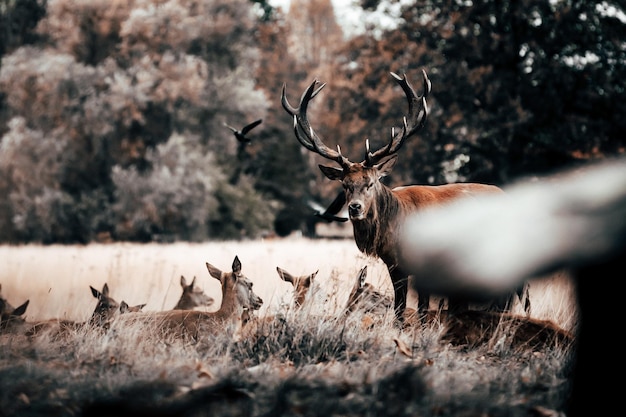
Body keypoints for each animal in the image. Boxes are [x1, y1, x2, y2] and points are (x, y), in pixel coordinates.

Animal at [280, 70, 524, 322]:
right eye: (345, 185)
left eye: (371, 183)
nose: (355, 208)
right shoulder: (394, 264)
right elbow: (406, 309)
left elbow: (413, 310)